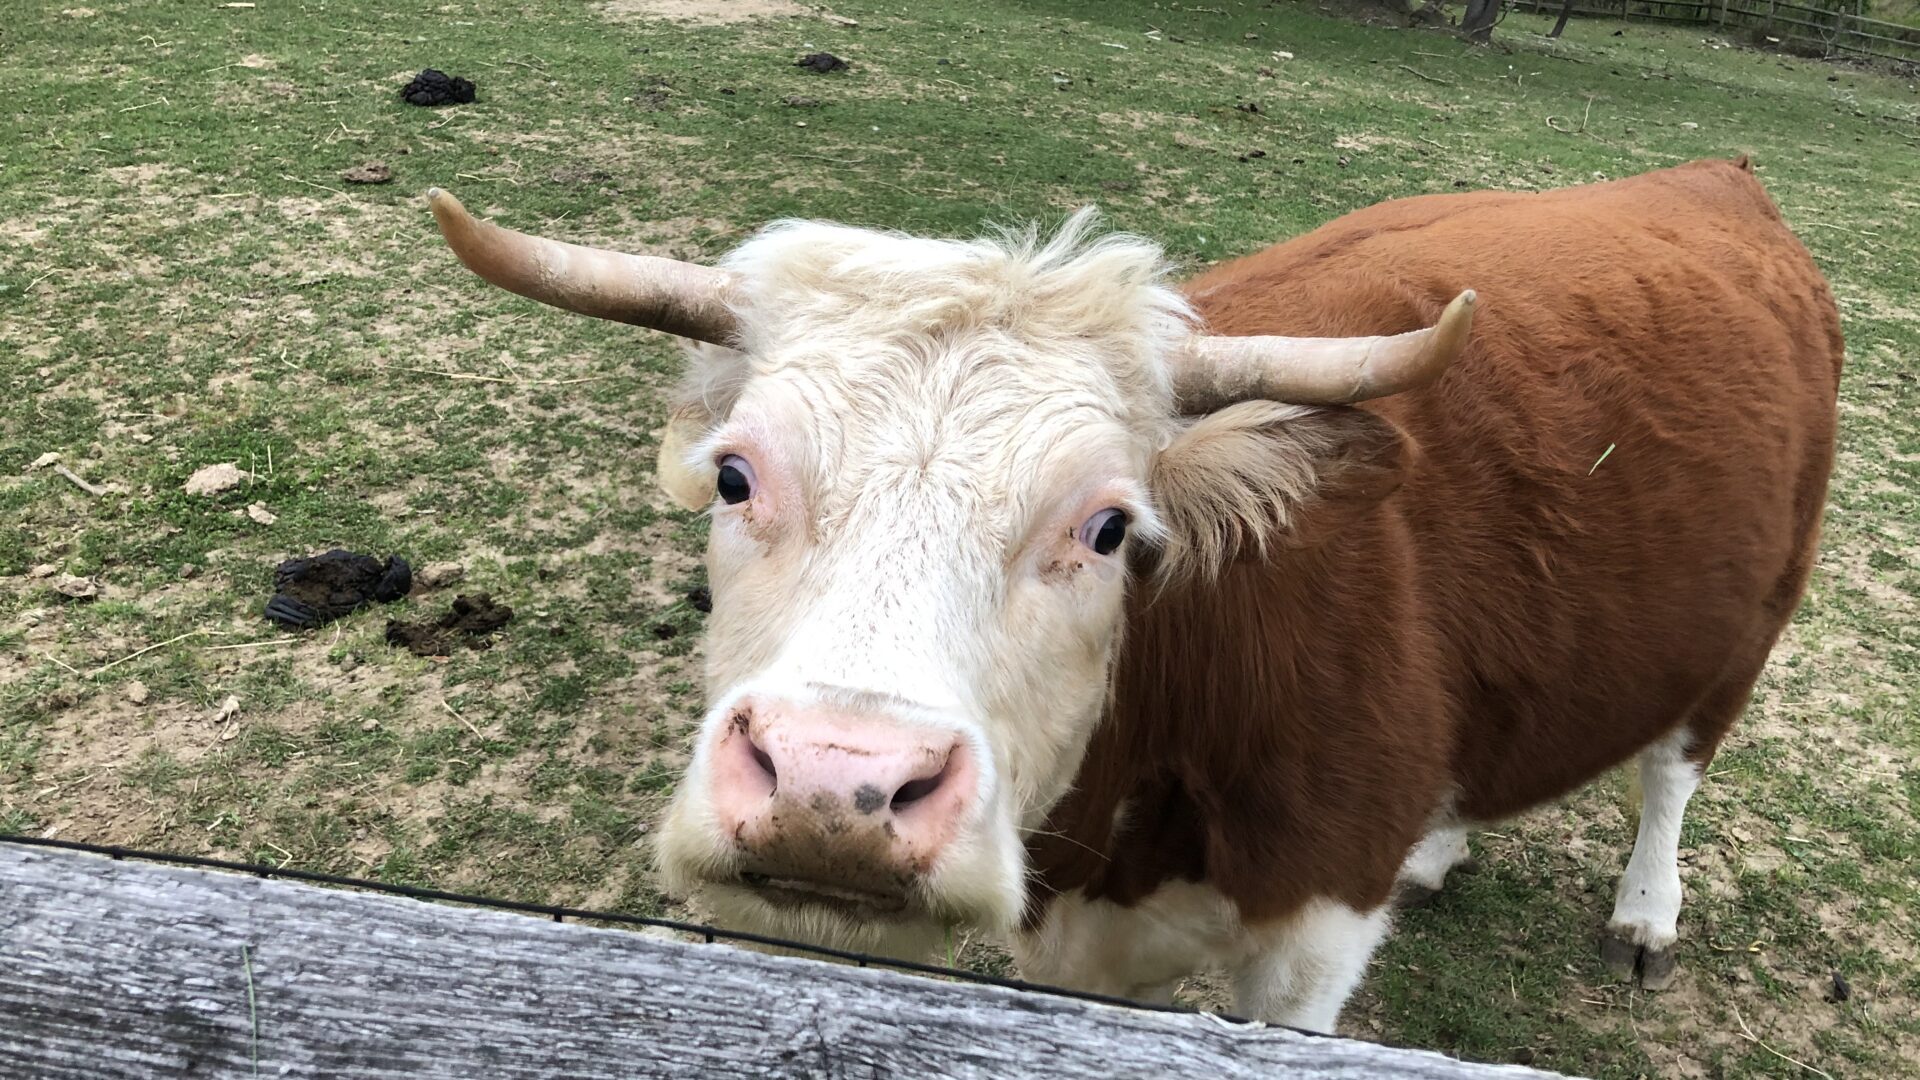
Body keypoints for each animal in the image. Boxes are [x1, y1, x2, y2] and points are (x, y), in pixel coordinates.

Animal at [428, 157, 1835, 1022]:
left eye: (1108, 528)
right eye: (733, 477)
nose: (837, 788)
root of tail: (1715, 179)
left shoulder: (1312, 951)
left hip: (1755, 614)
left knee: (1674, 766)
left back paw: (1645, 912)